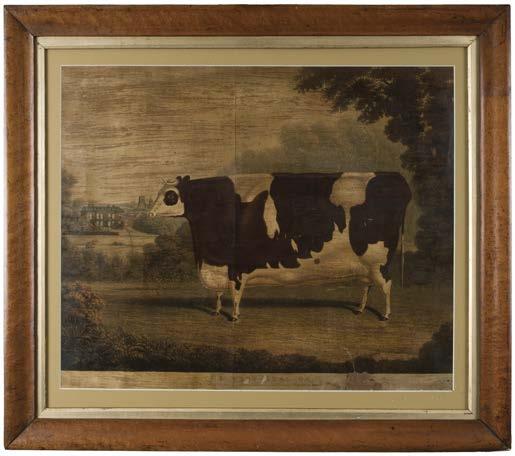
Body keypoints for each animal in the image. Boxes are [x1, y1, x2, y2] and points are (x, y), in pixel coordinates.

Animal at [149, 172, 411, 321]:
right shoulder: (218, 265)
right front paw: (215, 311)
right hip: (366, 264)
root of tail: (397, 179)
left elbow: (235, 293)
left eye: (170, 196)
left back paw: (386, 315)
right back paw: (360, 309)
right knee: (367, 285)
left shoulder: (236, 266)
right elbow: (218, 292)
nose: (150, 212)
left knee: (386, 286)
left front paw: (234, 316)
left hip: (379, 260)